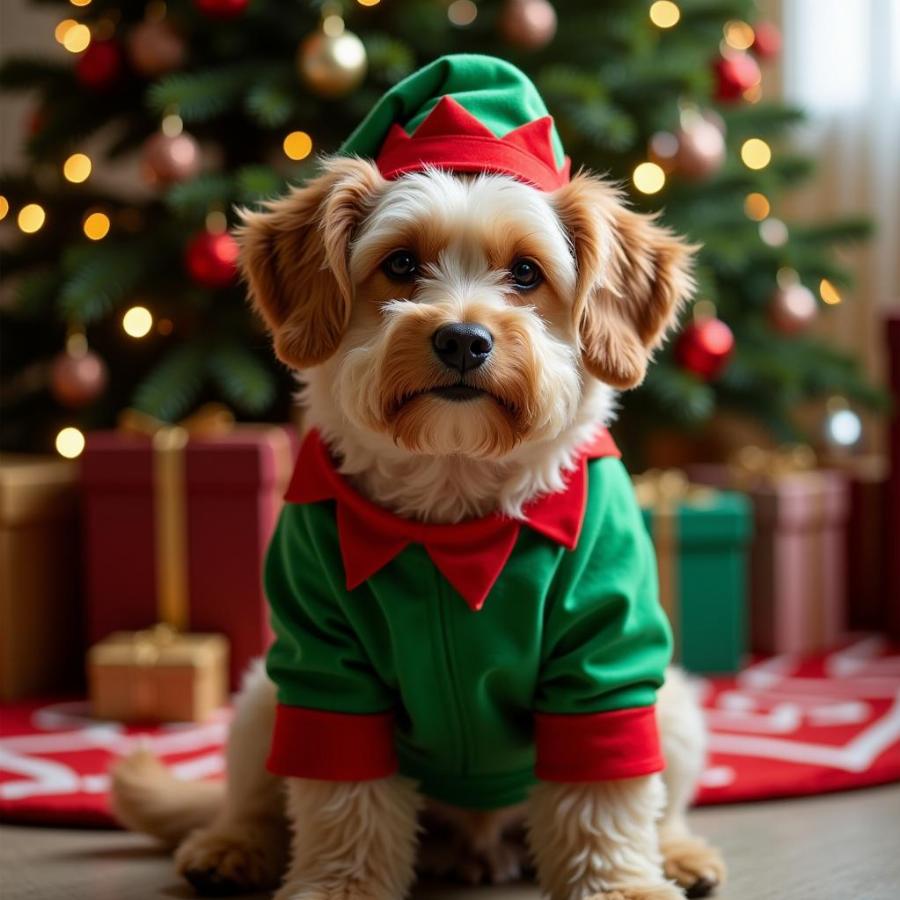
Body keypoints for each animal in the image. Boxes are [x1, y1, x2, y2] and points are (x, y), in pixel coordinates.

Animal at [114, 58, 732, 900]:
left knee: (662, 801)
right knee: (253, 801)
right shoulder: (325, 673)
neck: (454, 508)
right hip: (260, 702)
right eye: (402, 264)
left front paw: (621, 886)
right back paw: (231, 846)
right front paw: (336, 888)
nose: (464, 339)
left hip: (675, 707)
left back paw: (678, 853)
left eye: (526, 273)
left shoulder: (607, 666)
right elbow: (343, 802)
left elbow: (602, 800)